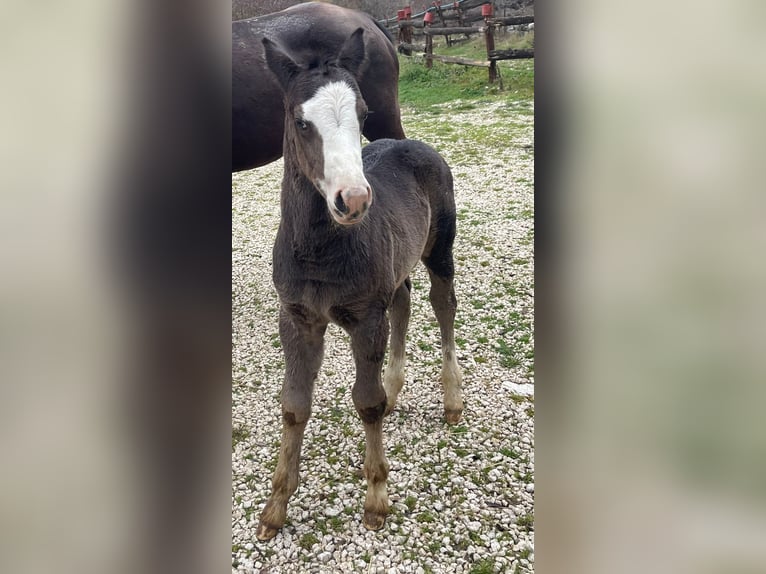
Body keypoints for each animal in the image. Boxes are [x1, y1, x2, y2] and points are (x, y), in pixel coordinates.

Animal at [255, 27, 464, 541]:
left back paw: (452, 399)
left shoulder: (366, 316)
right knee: (404, 302)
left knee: (443, 304)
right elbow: (294, 405)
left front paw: (376, 499)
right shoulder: (298, 318)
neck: (318, 251)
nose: (352, 199)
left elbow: (365, 403)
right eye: (300, 121)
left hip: (440, 250)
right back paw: (397, 392)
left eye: (364, 113)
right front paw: (275, 508)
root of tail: (418, 145)